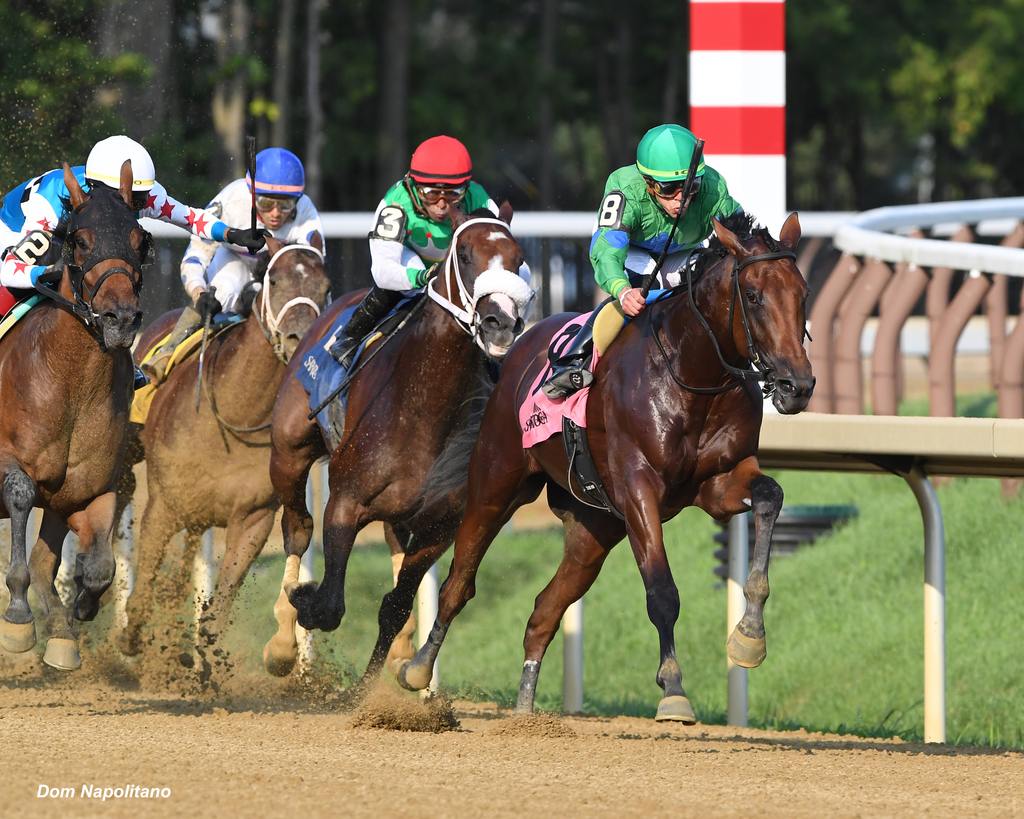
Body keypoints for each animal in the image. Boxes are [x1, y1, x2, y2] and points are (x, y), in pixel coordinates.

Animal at [0, 161, 149, 671]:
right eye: (80, 241)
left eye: (140, 240)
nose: (120, 319)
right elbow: (20, 494)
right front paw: (18, 615)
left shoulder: (88, 487)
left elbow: (98, 566)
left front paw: (75, 614)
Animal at [114, 235, 327, 659]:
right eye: (274, 280)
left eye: (325, 288)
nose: (301, 337)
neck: (234, 413)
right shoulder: (163, 505)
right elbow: (142, 589)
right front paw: (129, 636)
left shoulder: (255, 519)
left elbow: (220, 607)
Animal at [399, 212, 815, 724]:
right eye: (753, 295)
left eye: (802, 293)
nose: (797, 385)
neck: (691, 373)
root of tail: (519, 347)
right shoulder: (637, 489)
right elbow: (662, 590)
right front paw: (673, 688)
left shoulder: (719, 483)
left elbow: (771, 497)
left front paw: (749, 637)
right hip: (497, 482)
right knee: (460, 581)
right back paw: (418, 669)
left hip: (594, 528)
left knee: (543, 612)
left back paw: (524, 712)